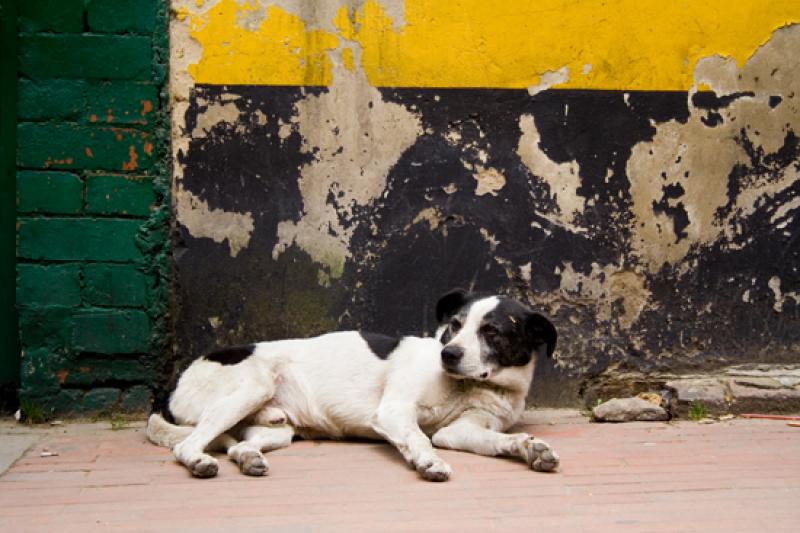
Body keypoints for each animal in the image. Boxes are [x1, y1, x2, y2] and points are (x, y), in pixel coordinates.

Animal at [147, 288, 560, 480]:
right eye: (454, 325)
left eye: (492, 332)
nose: (449, 354)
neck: (470, 385)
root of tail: (171, 387)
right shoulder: (393, 411)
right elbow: (419, 438)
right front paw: (427, 460)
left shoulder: (461, 430)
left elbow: (499, 440)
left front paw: (529, 448)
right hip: (252, 387)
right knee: (186, 445)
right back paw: (199, 461)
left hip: (276, 429)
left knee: (236, 446)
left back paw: (248, 457)